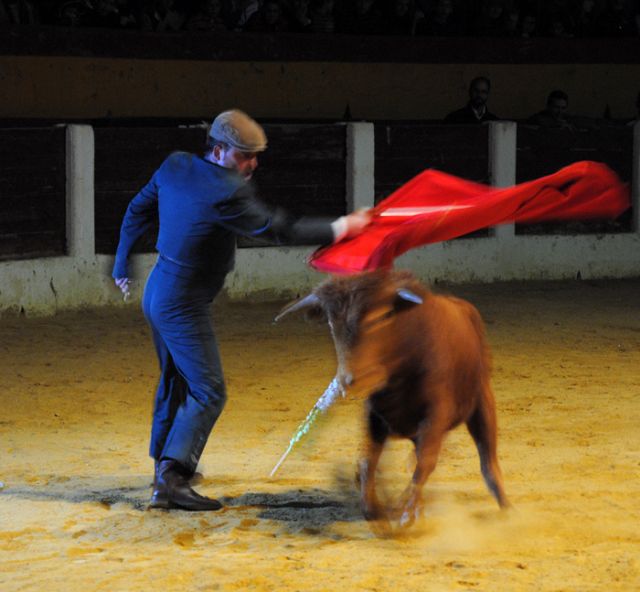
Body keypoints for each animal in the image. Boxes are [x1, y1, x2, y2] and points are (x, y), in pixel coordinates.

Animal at [276, 268, 510, 528]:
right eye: (330, 322)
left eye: (382, 317)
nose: (350, 381)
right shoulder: (374, 415)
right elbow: (369, 460)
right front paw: (372, 506)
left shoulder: (436, 414)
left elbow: (426, 462)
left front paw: (406, 512)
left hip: (482, 402)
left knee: (487, 457)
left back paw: (504, 504)